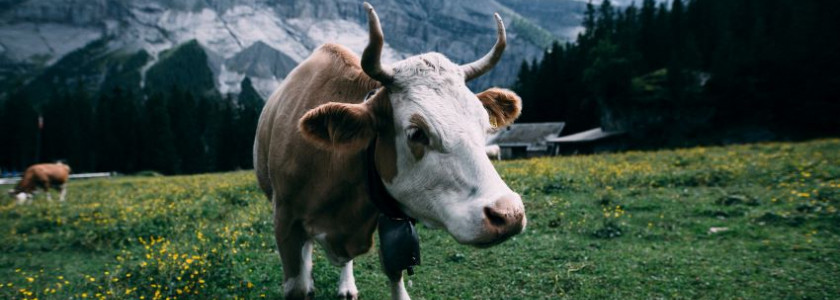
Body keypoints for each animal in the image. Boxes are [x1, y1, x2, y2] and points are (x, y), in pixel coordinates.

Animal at [253, 2, 524, 300]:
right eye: (416, 133)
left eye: (484, 123)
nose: (508, 214)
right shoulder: (285, 223)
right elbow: (298, 284)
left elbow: (394, 272)